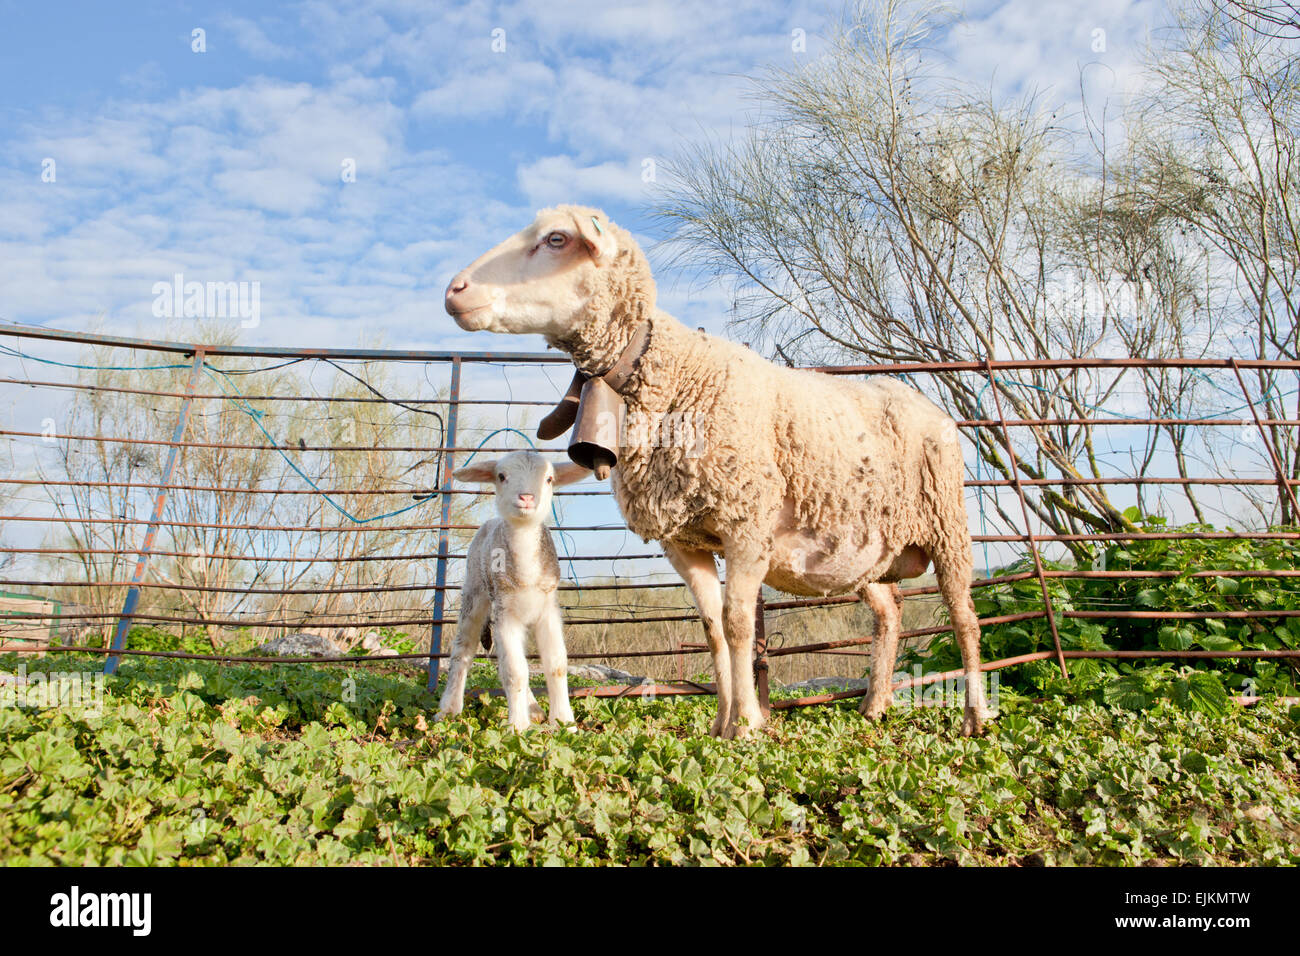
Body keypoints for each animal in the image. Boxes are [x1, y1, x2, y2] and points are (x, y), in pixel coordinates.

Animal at [439, 452, 592, 728]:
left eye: (549, 479)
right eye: (501, 476)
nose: (527, 497)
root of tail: (491, 522)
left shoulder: (548, 611)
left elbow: (556, 665)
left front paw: (564, 722)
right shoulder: (505, 614)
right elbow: (514, 671)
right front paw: (518, 726)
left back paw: (534, 708)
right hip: (475, 592)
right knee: (463, 650)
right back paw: (449, 708)